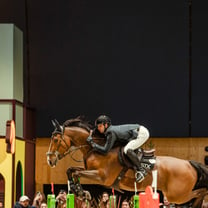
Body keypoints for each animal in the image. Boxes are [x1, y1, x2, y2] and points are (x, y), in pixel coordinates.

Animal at [46, 118, 208, 207]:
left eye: (56, 140)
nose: (49, 160)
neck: (95, 149)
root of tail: (189, 163)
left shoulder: (102, 177)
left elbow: (76, 172)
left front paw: (80, 190)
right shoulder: (89, 171)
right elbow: (71, 170)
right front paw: (79, 190)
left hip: (177, 195)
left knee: (201, 191)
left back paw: (197, 203)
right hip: (177, 194)